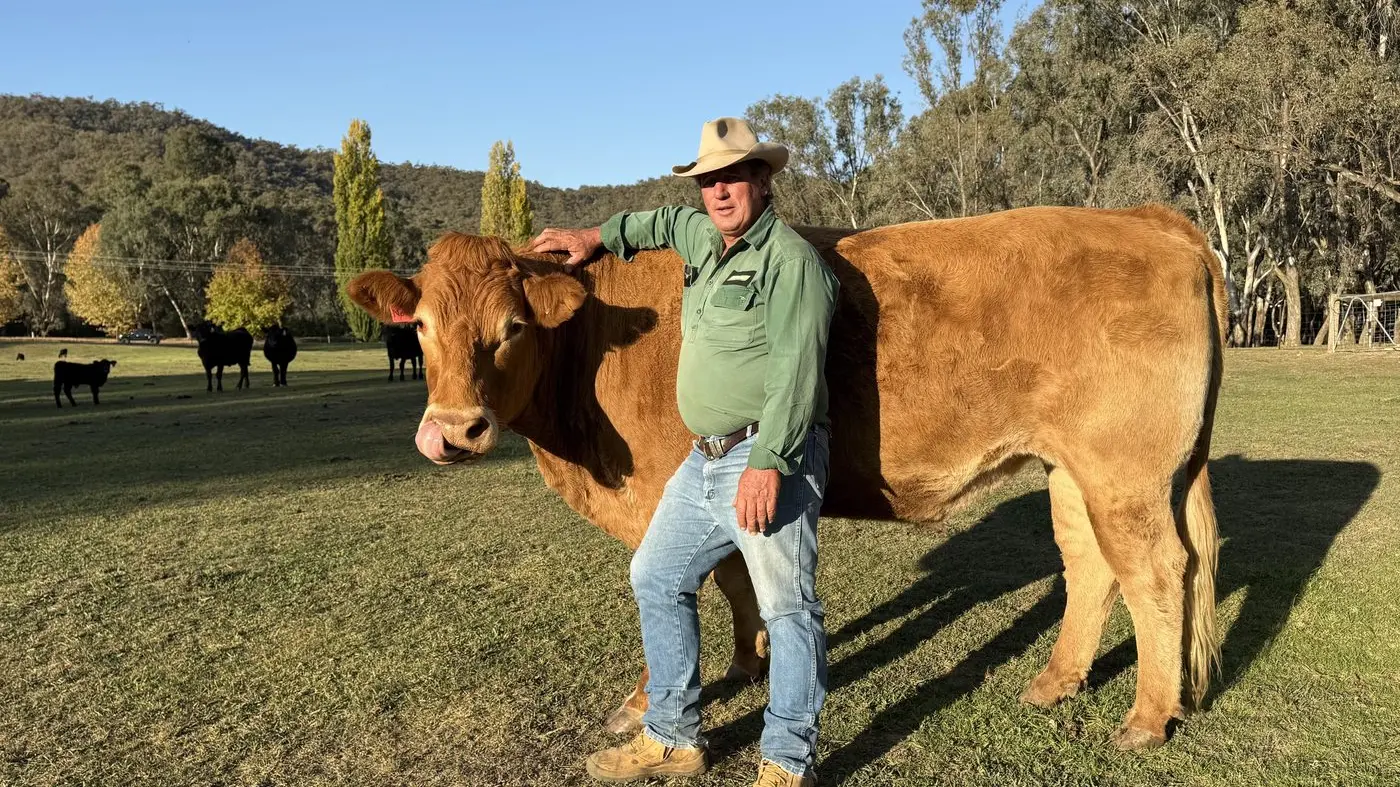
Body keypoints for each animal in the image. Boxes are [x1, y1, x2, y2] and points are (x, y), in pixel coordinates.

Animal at [347, 204, 1227, 751]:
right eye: (420, 327)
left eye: (512, 327)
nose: (452, 431)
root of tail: (1143, 217)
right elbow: (735, 578)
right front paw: (749, 660)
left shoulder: (660, 499)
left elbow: (672, 596)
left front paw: (645, 702)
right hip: (1072, 471)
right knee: (1091, 566)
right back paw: (1055, 681)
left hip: (1125, 472)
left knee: (1157, 572)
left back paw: (1148, 716)